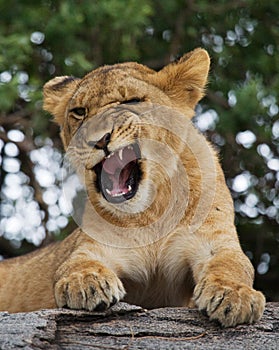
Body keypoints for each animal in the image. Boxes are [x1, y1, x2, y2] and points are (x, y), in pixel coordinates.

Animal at [0, 47, 266, 326]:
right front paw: (86, 283)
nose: (98, 140)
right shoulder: (92, 247)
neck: (151, 211)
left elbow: (232, 264)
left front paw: (232, 296)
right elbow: (75, 264)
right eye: (79, 111)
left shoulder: (216, 241)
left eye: (132, 101)